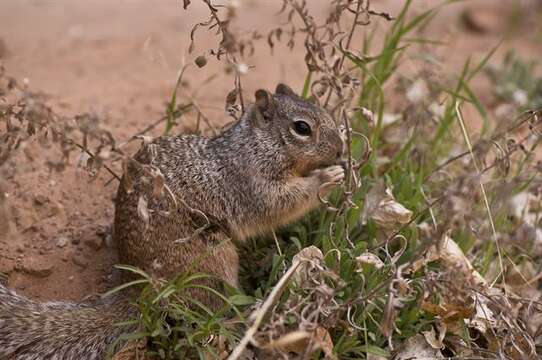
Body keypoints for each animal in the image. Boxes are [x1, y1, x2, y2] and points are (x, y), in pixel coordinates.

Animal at [0, 83, 346, 358]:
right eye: (301, 128)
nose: (342, 149)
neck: (255, 146)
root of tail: (139, 293)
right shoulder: (251, 184)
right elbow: (280, 204)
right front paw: (326, 178)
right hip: (212, 261)